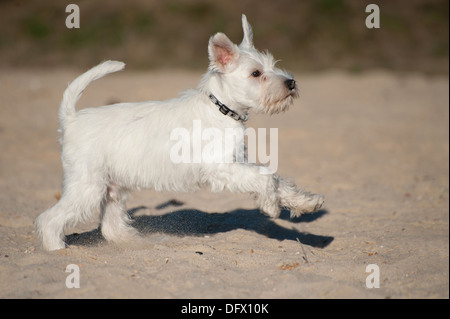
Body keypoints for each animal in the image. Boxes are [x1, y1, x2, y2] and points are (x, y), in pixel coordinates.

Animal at [35, 15, 324, 251]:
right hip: (87, 187)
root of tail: (71, 118)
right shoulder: (221, 168)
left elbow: (276, 179)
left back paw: (136, 243)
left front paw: (305, 203)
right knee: (50, 219)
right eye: (256, 73)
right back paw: (57, 251)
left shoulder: (238, 163)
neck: (220, 108)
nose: (291, 82)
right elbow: (266, 178)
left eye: (273, 65)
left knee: (111, 226)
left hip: (113, 187)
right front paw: (271, 206)